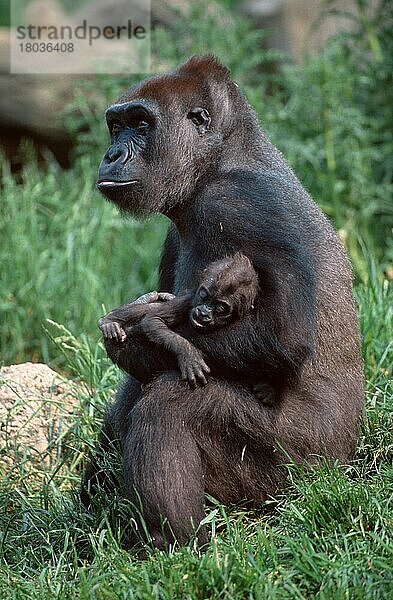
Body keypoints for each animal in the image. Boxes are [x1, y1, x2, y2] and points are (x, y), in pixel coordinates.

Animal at [98, 252, 258, 390]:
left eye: (220, 308)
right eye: (204, 295)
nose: (204, 312)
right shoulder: (186, 302)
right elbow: (152, 320)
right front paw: (188, 353)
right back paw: (108, 321)